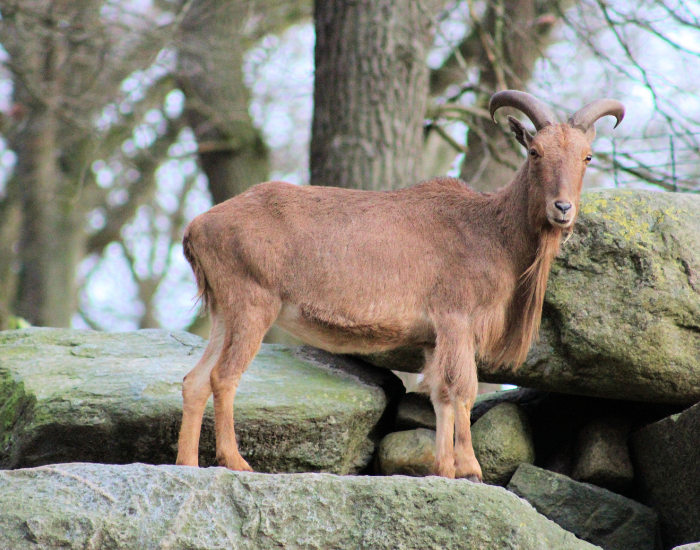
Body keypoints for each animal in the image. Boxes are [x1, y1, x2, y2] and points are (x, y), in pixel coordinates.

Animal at [175, 90, 624, 480]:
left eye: (586, 156)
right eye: (535, 152)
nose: (562, 208)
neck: (491, 229)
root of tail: (198, 226)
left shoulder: (432, 338)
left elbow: (440, 394)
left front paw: (444, 469)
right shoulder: (457, 320)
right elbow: (462, 389)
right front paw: (471, 470)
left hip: (224, 313)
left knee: (195, 380)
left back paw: (187, 464)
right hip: (252, 305)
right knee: (224, 377)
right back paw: (235, 461)